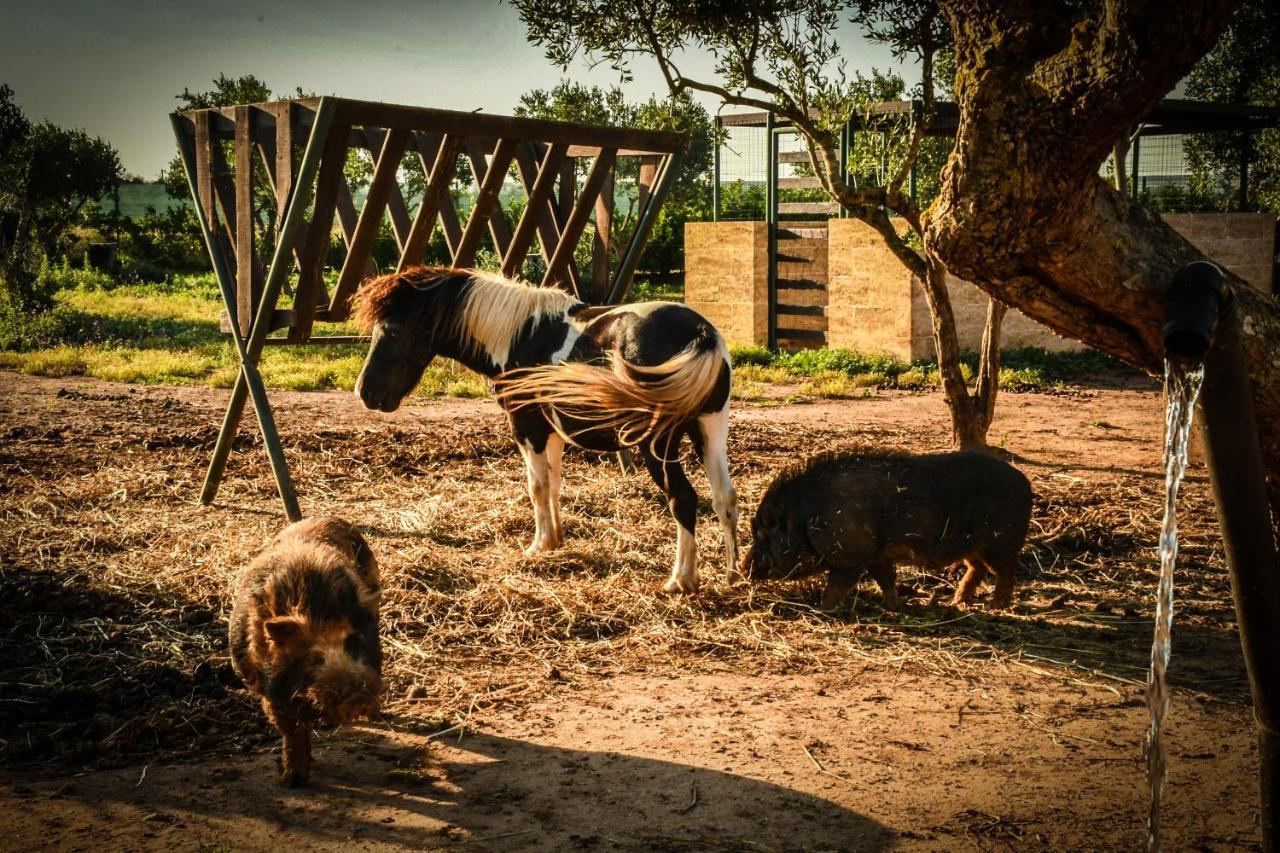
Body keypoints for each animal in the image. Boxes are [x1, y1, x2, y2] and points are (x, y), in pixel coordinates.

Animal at [230, 512, 381, 783]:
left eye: (352, 644)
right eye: (315, 658)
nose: (356, 696)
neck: (315, 609)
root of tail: (323, 517)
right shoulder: (270, 691)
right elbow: (292, 730)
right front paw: (292, 780)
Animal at [353, 266, 742, 591]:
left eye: (393, 330)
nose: (365, 392)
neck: (520, 334)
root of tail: (700, 333)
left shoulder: (527, 427)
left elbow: (537, 487)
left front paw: (538, 546)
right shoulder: (552, 432)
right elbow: (553, 485)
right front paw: (556, 541)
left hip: (658, 445)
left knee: (683, 499)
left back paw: (681, 579)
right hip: (710, 432)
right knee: (724, 496)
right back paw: (732, 573)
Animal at [747, 448, 1034, 607]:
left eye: (763, 534)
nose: (743, 566)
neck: (805, 519)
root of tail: (1025, 482)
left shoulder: (852, 556)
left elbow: (839, 585)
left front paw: (822, 608)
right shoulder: (876, 555)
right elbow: (885, 578)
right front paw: (892, 606)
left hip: (1001, 542)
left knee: (1007, 569)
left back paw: (995, 606)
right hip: (972, 545)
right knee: (977, 568)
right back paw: (958, 601)